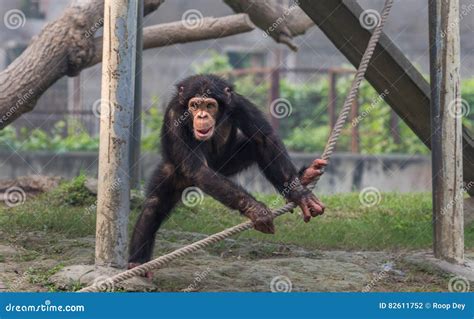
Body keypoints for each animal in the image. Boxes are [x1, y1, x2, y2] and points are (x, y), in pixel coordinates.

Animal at [128, 75, 328, 272]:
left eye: (209, 105)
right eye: (194, 105)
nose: (202, 115)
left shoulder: (239, 103)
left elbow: (264, 139)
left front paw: (299, 194)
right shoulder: (175, 115)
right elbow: (197, 169)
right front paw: (255, 209)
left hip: (225, 164)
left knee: (255, 146)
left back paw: (305, 176)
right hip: (174, 171)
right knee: (154, 205)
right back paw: (137, 263)